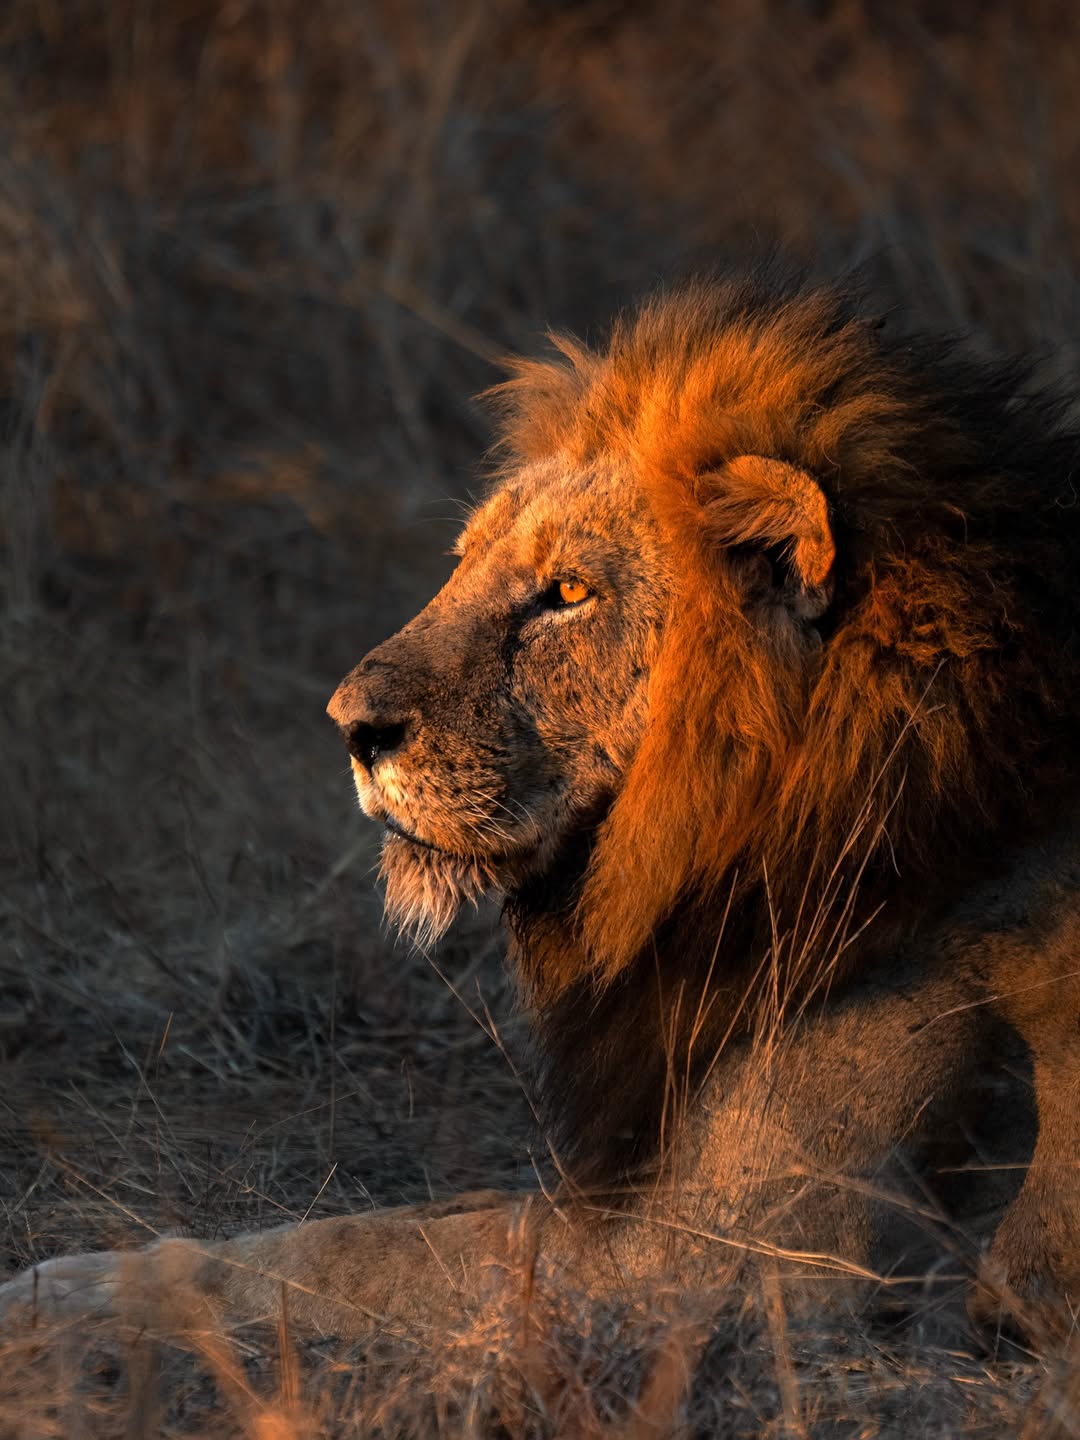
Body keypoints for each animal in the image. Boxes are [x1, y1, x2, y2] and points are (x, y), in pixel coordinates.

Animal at [3, 264, 1080, 1346]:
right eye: (464, 561)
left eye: (564, 593)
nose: (350, 726)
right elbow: (429, 1214)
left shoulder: (748, 1259)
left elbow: (347, 1252)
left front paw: (61, 1289)